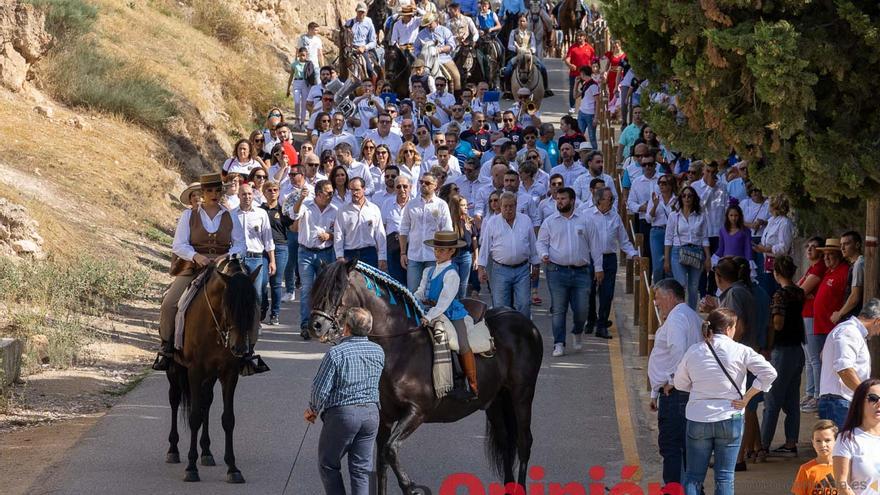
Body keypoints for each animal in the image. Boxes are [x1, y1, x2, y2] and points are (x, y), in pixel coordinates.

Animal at [163, 260, 258, 484]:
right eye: (228, 305)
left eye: (253, 306)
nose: (239, 348)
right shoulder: (195, 371)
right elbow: (194, 417)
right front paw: (191, 468)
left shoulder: (229, 373)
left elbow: (228, 419)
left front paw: (233, 468)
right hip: (174, 370)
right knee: (174, 399)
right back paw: (173, 450)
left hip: (210, 376)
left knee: (206, 402)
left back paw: (206, 452)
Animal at [310, 262, 544, 494]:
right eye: (317, 286)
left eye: (337, 288)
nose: (314, 326)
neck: (402, 345)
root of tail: (524, 321)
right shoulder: (386, 415)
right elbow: (382, 461)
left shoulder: (417, 411)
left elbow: (390, 450)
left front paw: (411, 488)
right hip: (496, 398)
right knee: (506, 441)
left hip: (522, 394)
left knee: (524, 442)